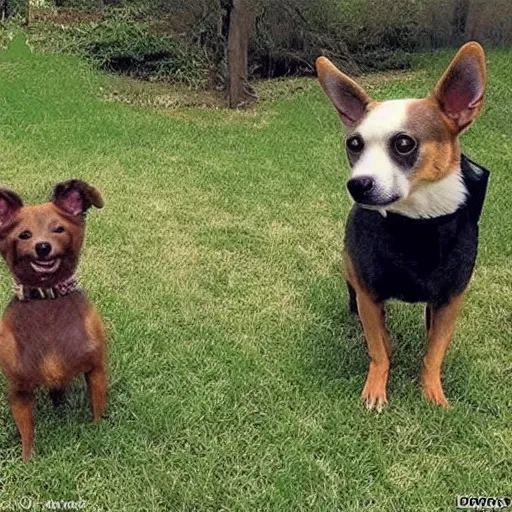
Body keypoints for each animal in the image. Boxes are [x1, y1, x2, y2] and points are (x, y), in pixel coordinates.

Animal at [0, 180, 106, 460]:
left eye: (58, 229)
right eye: (24, 235)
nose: (42, 246)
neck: (48, 301)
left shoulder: (97, 370)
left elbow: (98, 412)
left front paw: (100, 435)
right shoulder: (19, 391)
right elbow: (27, 434)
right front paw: (28, 462)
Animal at [316, 44, 488, 412]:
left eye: (404, 143)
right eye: (354, 144)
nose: (357, 184)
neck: (417, 225)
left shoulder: (449, 301)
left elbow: (433, 353)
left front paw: (433, 393)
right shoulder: (369, 294)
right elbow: (379, 349)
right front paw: (376, 389)